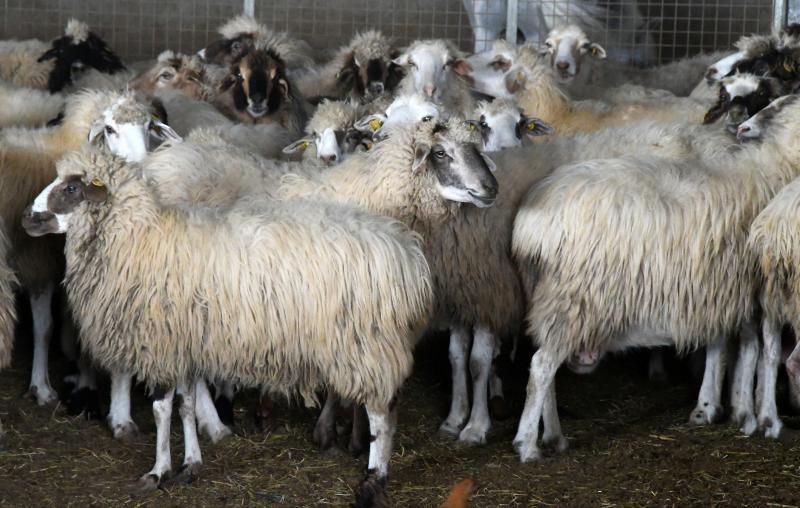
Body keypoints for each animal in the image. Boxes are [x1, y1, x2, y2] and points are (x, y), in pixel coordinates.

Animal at [25, 143, 434, 492]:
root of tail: (407, 254)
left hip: (366, 345)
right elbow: (186, 405)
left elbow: (161, 410)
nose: (28, 218)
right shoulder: (185, 344)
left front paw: (157, 471)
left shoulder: (162, 345)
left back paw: (375, 476)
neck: (141, 237)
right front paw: (190, 464)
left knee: (382, 413)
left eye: (73, 187)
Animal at [506, 89, 800, 462]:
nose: (744, 126)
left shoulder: (717, 287)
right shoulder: (748, 289)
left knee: (545, 366)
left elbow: (722, 345)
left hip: (548, 298)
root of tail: (527, 226)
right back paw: (527, 444)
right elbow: (753, 350)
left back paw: (554, 436)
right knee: (542, 367)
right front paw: (749, 415)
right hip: (574, 299)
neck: (772, 168)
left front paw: (713, 407)